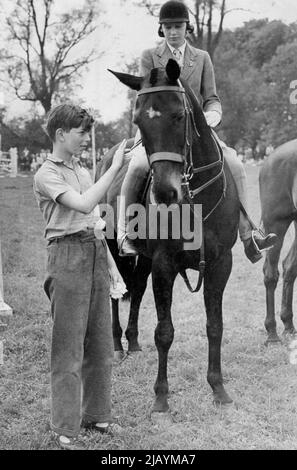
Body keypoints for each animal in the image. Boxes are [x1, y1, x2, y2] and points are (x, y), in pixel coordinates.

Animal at [97, 59, 238, 414]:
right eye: (138, 120)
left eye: (178, 115)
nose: (164, 192)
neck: (196, 199)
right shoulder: (165, 263)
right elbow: (164, 332)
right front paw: (161, 397)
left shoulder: (220, 264)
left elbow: (214, 326)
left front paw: (218, 389)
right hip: (115, 251)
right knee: (116, 295)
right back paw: (117, 344)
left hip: (144, 260)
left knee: (136, 290)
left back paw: (133, 342)